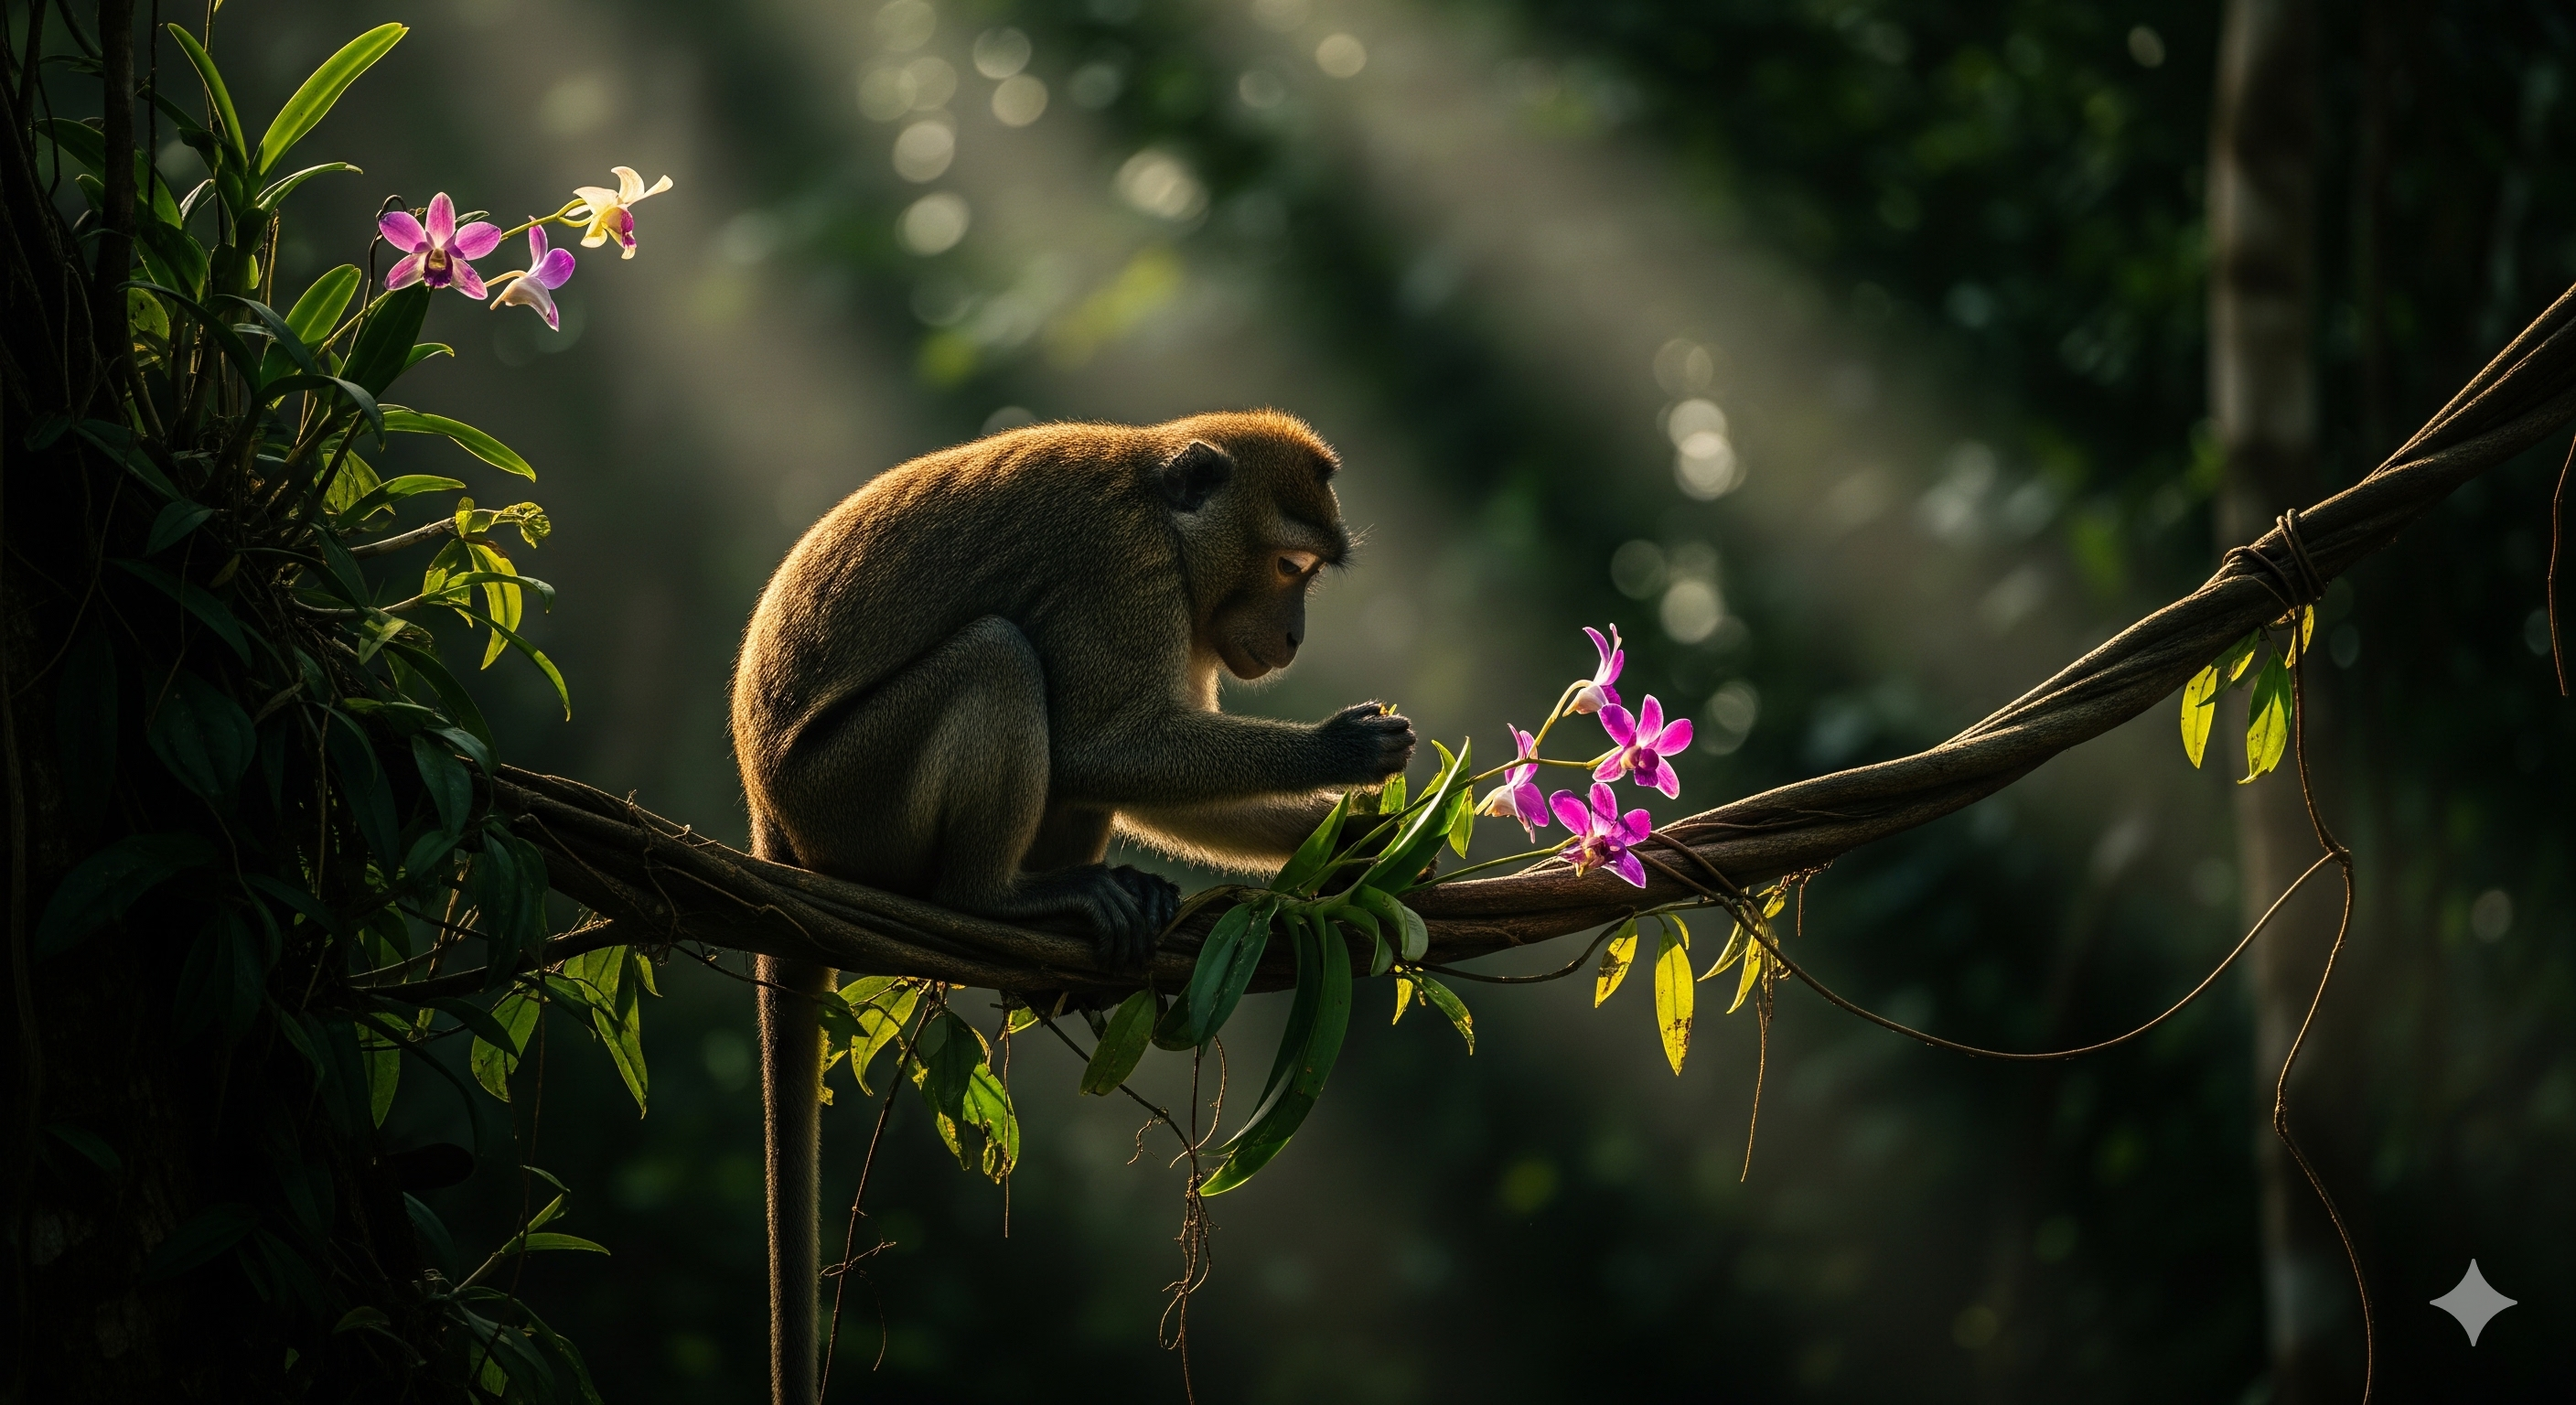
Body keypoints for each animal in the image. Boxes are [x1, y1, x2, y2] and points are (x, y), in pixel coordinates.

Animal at [728, 409, 1414, 1404]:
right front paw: (1342, 752)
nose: (1291, 637)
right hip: (852, 798)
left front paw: (1362, 845)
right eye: (1291, 567)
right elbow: (1098, 746)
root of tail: (768, 814)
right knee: (999, 656)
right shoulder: (1123, 577)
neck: (1170, 520)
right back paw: (1006, 900)